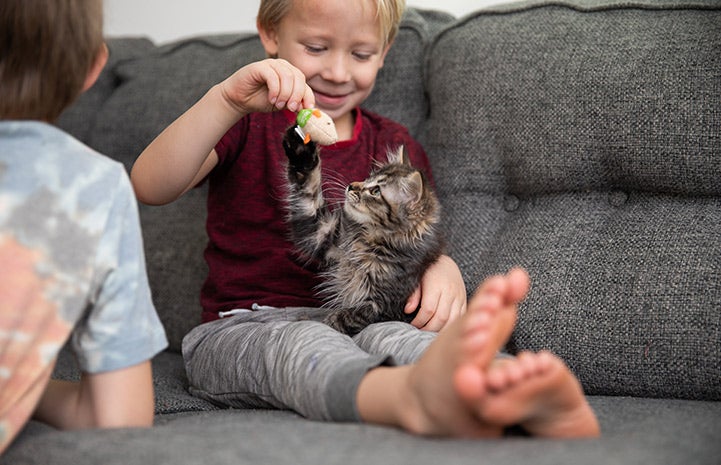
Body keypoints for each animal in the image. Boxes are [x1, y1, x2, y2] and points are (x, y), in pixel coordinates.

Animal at [282, 124, 444, 334]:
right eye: (368, 178)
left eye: (375, 191)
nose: (351, 186)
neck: (367, 239)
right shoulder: (320, 232)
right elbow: (308, 192)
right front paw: (301, 149)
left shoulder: (385, 305)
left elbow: (349, 317)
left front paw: (327, 322)